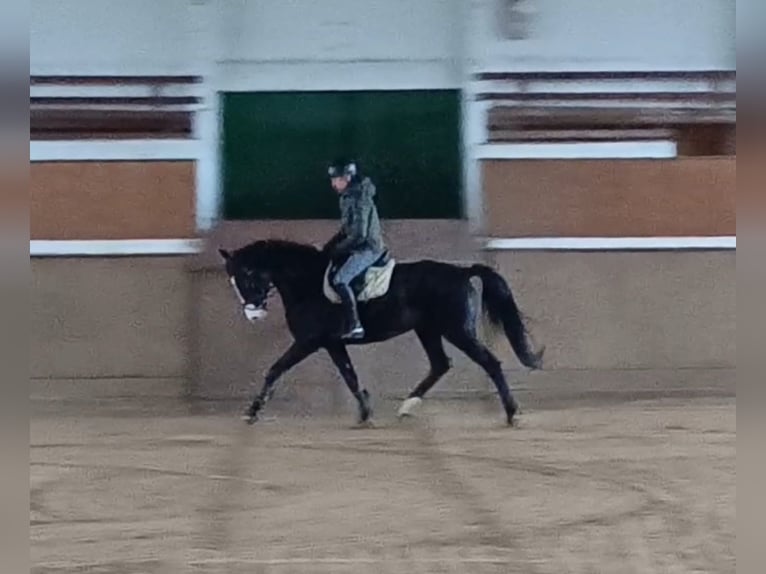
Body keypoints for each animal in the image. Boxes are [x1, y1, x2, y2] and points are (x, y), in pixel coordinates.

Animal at [218, 238, 544, 428]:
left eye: (247, 275)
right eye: (233, 280)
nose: (253, 314)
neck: (306, 282)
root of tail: (462, 272)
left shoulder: (308, 341)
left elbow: (276, 369)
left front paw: (252, 411)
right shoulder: (332, 343)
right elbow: (349, 375)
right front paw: (365, 412)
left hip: (456, 331)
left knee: (490, 363)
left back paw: (512, 413)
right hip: (428, 330)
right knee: (440, 364)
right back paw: (407, 407)